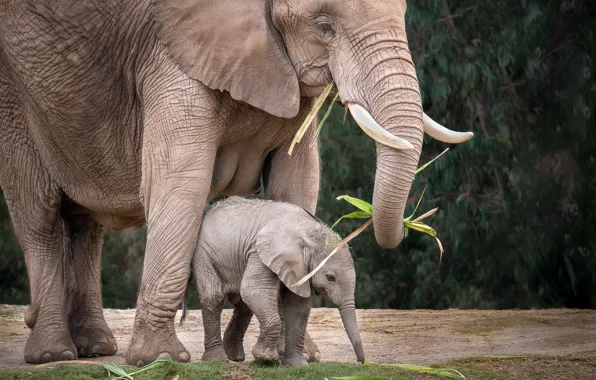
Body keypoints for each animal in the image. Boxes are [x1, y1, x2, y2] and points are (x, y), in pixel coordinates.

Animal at [193, 196, 366, 366]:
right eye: (330, 277)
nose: (360, 362)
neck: (308, 231)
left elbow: (298, 305)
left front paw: (297, 365)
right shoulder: (260, 251)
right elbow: (253, 290)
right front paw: (267, 357)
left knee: (243, 304)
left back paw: (235, 357)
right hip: (204, 254)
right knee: (214, 296)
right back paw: (217, 359)